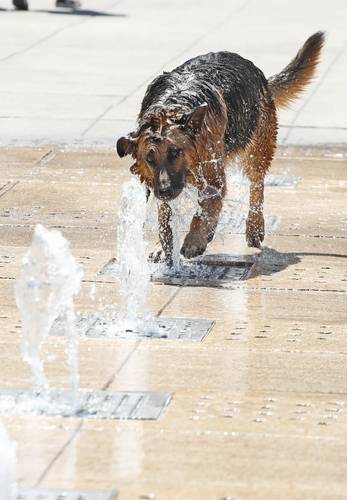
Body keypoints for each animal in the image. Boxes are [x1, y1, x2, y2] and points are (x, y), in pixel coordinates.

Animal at [117, 32, 326, 266]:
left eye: (175, 152)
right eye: (150, 158)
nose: (165, 191)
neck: (172, 107)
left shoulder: (213, 177)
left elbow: (206, 208)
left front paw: (195, 240)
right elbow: (164, 216)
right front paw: (163, 246)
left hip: (258, 148)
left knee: (257, 185)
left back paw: (254, 226)